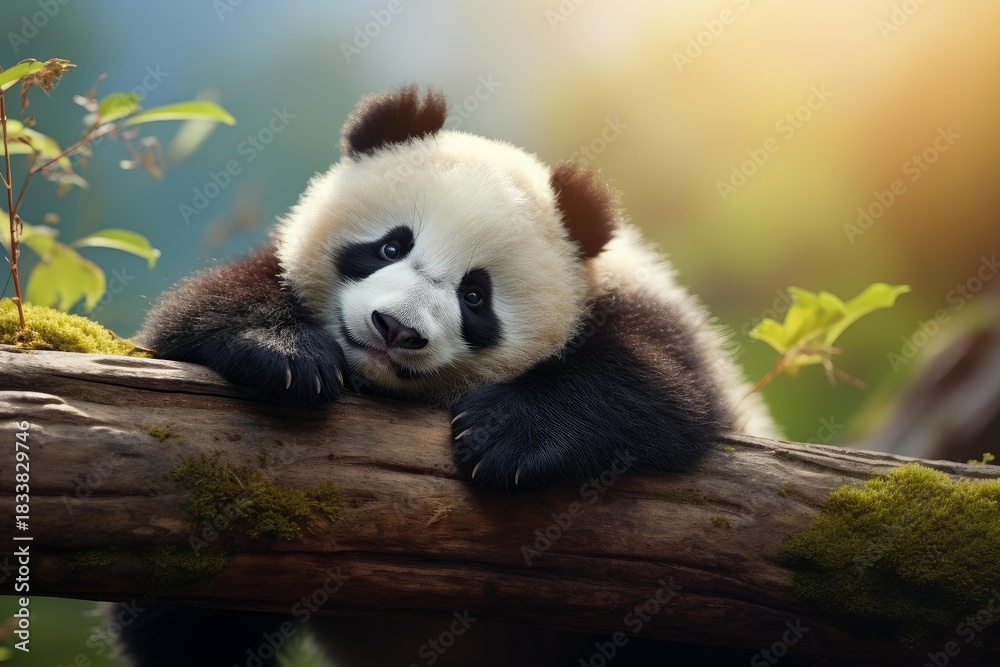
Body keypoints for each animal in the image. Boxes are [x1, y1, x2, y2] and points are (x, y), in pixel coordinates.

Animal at [112, 86, 777, 667]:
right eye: (390, 246)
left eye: (475, 295)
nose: (395, 329)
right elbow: (203, 306)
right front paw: (284, 353)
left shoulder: (657, 323)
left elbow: (662, 393)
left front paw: (507, 435)